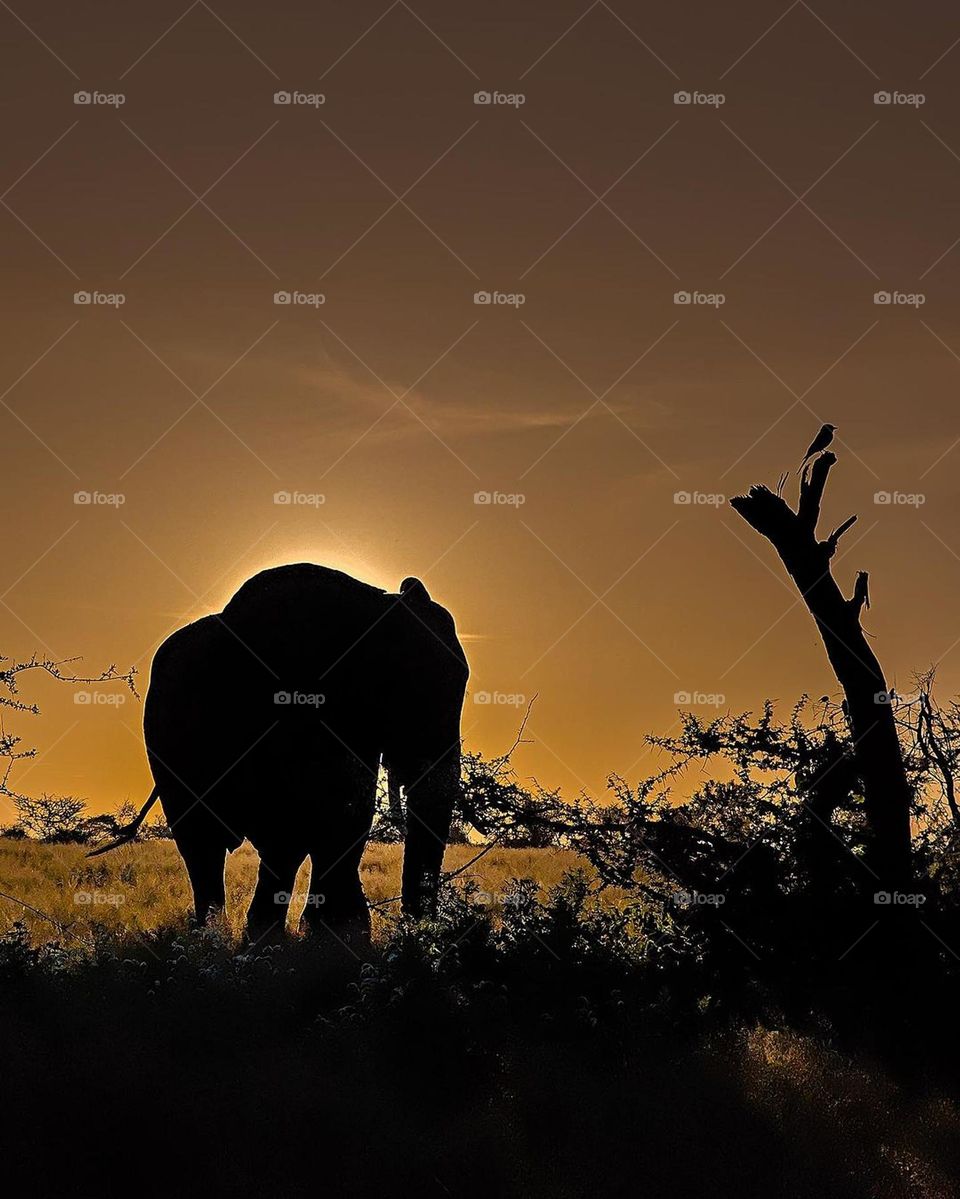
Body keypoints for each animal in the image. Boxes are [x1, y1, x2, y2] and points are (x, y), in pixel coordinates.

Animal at [94, 564, 469, 940]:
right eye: (392, 691)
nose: (415, 927)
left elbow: (349, 811)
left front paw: (334, 934)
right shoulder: (293, 700)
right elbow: (305, 815)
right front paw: (310, 934)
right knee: (203, 841)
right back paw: (214, 933)